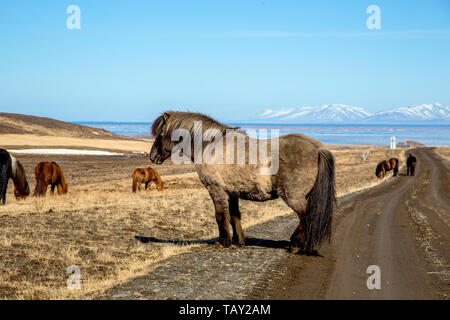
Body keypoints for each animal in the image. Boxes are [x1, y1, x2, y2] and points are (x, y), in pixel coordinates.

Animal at [149, 111, 336, 254]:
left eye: (160, 133)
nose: (152, 156)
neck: (210, 145)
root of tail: (317, 148)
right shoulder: (232, 193)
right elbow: (234, 217)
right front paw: (239, 241)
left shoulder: (217, 191)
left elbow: (220, 216)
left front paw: (223, 241)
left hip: (293, 197)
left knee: (306, 216)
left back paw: (295, 244)